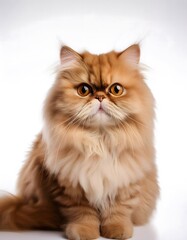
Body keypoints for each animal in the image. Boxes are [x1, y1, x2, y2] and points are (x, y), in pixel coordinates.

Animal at [0, 44, 159, 239]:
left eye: (116, 90)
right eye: (84, 90)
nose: (100, 97)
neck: (100, 141)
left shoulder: (125, 181)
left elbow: (118, 210)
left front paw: (116, 230)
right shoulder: (70, 187)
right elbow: (82, 213)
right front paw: (84, 232)